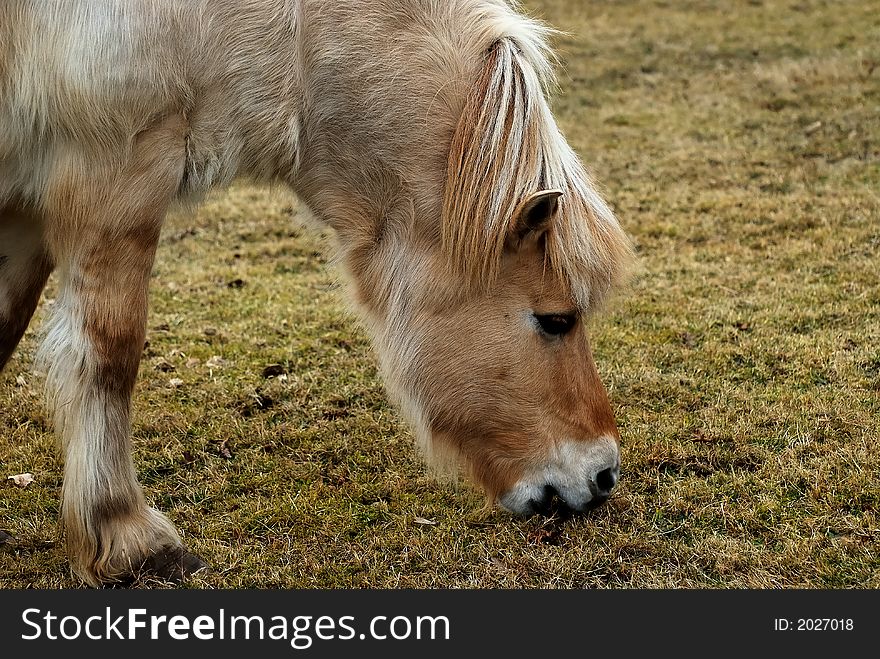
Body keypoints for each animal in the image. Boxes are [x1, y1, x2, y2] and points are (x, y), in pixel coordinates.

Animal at [0, 0, 632, 588]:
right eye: (555, 319)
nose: (603, 475)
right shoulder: (117, 174)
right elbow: (109, 355)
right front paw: (127, 537)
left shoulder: (24, 205)